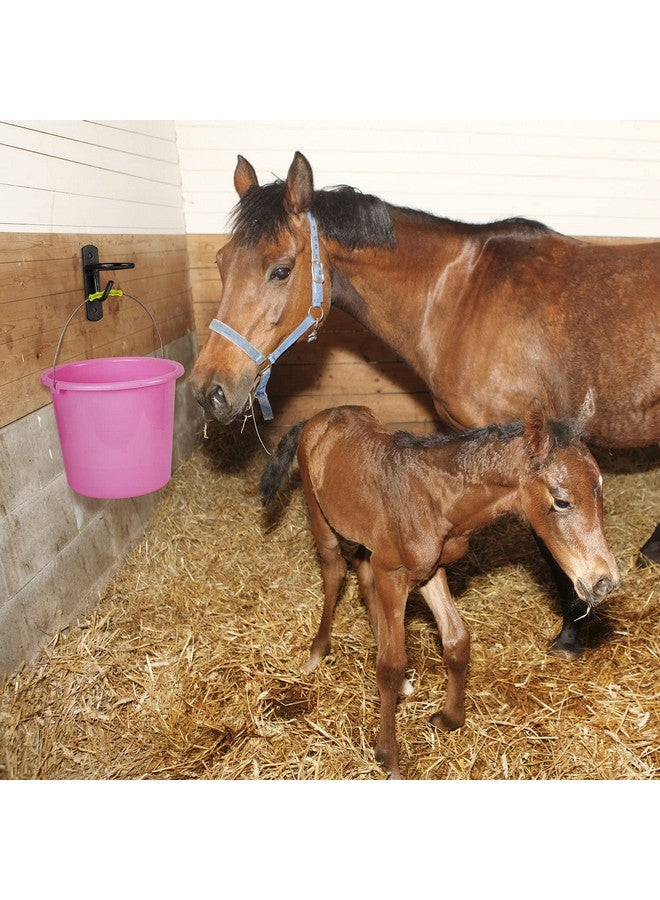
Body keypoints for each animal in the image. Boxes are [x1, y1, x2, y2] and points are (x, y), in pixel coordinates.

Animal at [259, 401, 620, 779]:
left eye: (600, 488)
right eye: (562, 501)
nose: (603, 582)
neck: (436, 500)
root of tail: (316, 418)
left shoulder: (430, 571)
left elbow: (456, 640)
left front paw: (448, 718)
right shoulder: (393, 574)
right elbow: (390, 664)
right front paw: (388, 758)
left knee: (363, 576)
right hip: (320, 515)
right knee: (335, 571)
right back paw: (318, 651)